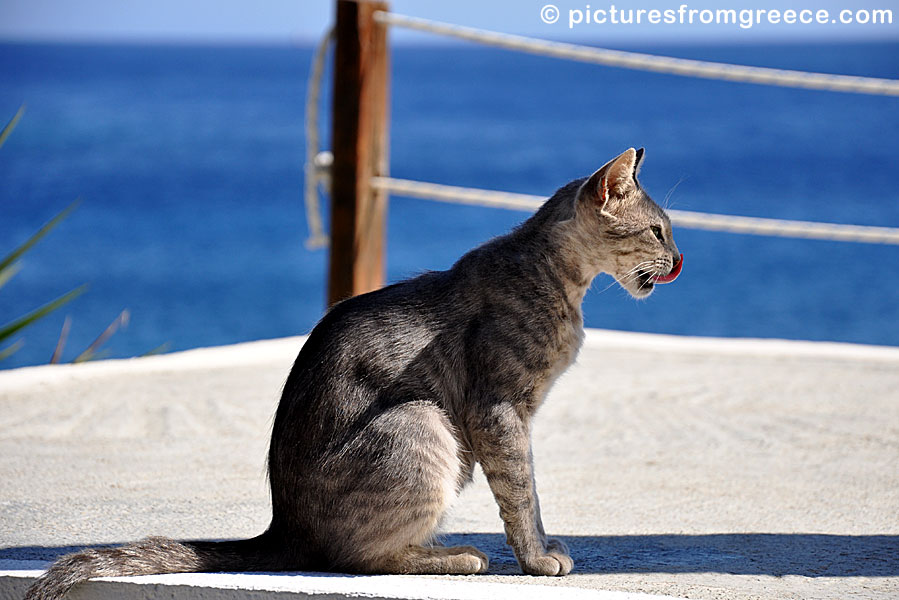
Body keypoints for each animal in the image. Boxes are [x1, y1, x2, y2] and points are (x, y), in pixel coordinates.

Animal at [24, 146, 684, 600]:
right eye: (658, 230)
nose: (680, 258)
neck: (557, 278)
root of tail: (282, 528)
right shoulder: (499, 411)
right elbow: (523, 492)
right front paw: (538, 558)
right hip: (421, 422)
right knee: (359, 558)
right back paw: (456, 555)